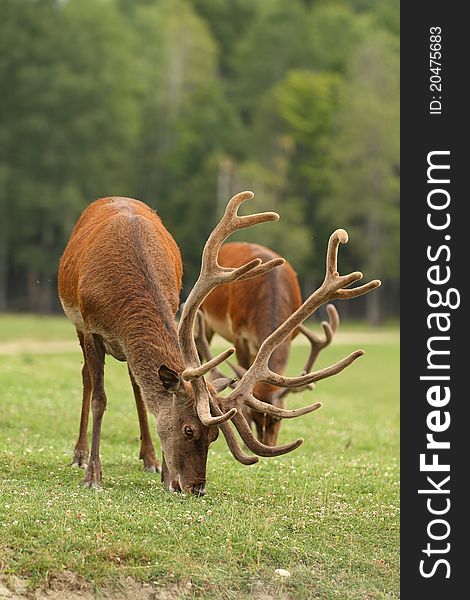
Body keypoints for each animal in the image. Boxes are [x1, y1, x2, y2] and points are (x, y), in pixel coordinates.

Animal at [193, 243, 340, 446]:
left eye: (277, 419)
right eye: (253, 417)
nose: (267, 444)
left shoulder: (290, 335)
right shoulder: (239, 334)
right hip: (205, 319)